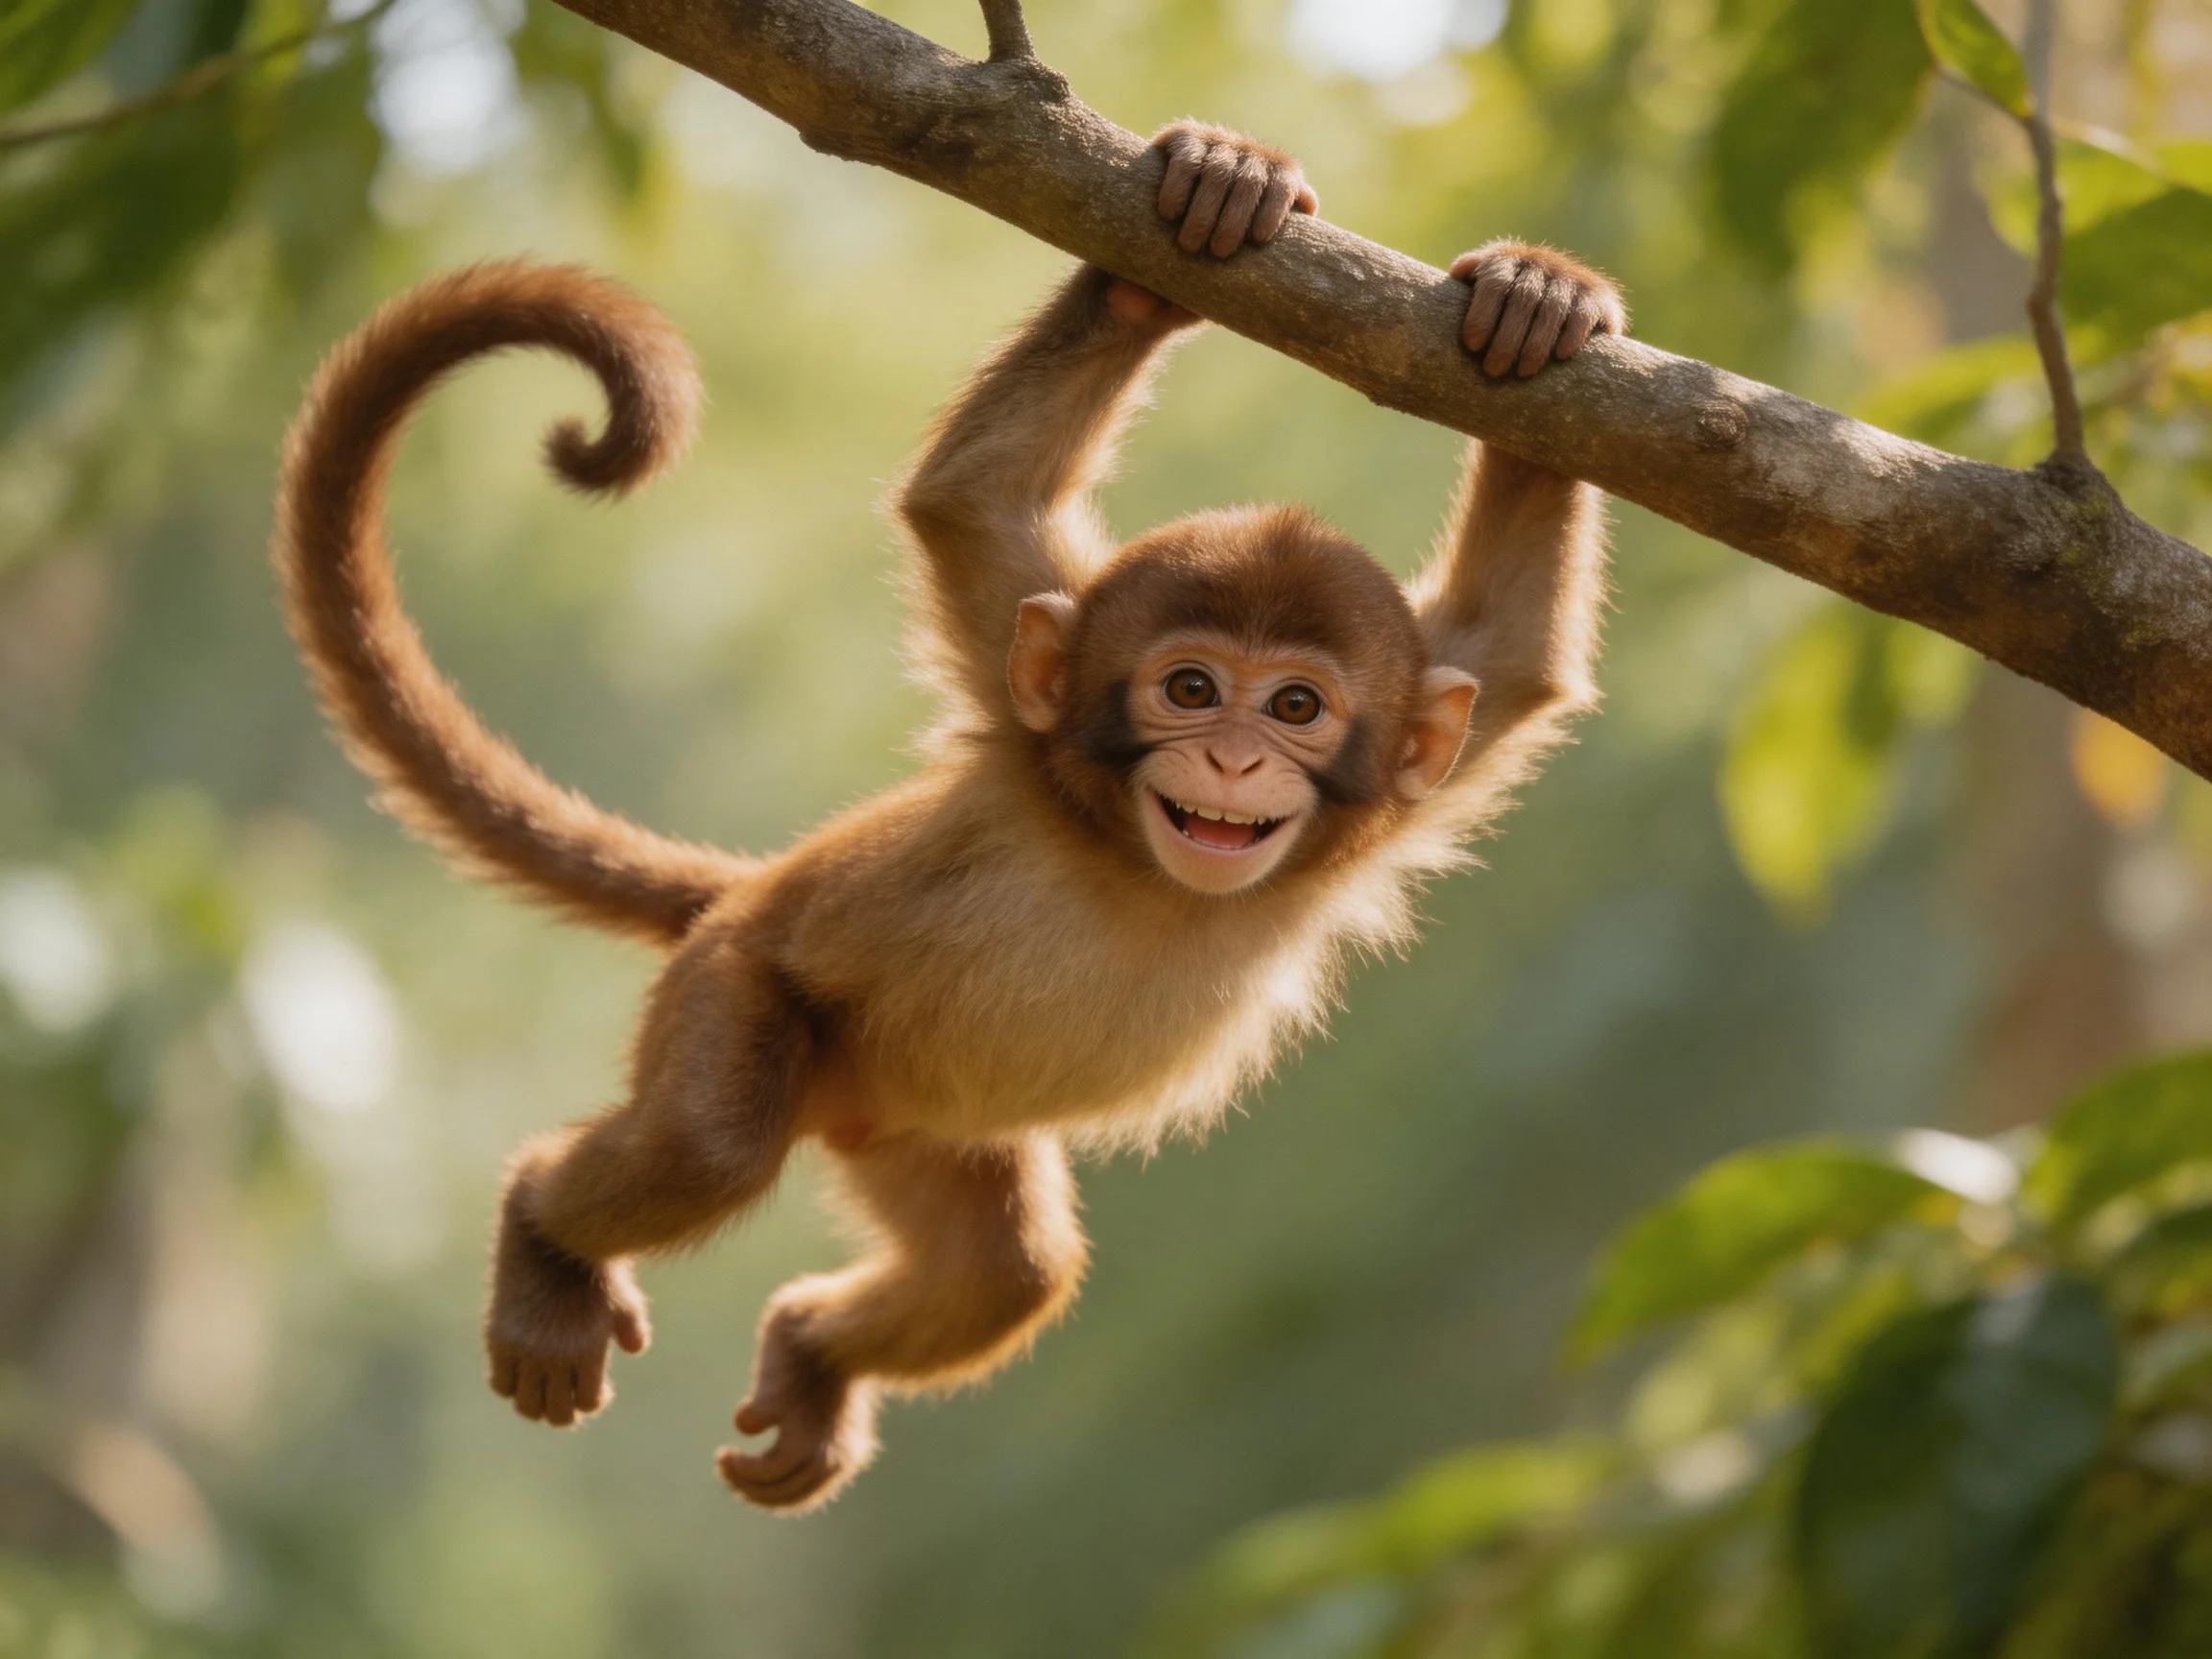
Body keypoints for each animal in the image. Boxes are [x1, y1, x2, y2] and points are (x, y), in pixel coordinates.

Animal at [272, 120, 1624, 1512]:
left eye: (1298, 705)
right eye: (1191, 688)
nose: (1238, 758)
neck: (1136, 865)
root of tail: (744, 894)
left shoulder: (1414, 776)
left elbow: (1512, 659)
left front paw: (1539, 302)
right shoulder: (1024, 728)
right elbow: (973, 503)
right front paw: (1191, 216)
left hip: (914, 1124)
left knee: (1003, 1274)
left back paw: (812, 1360)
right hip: (741, 983)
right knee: (708, 1143)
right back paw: (542, 1235)